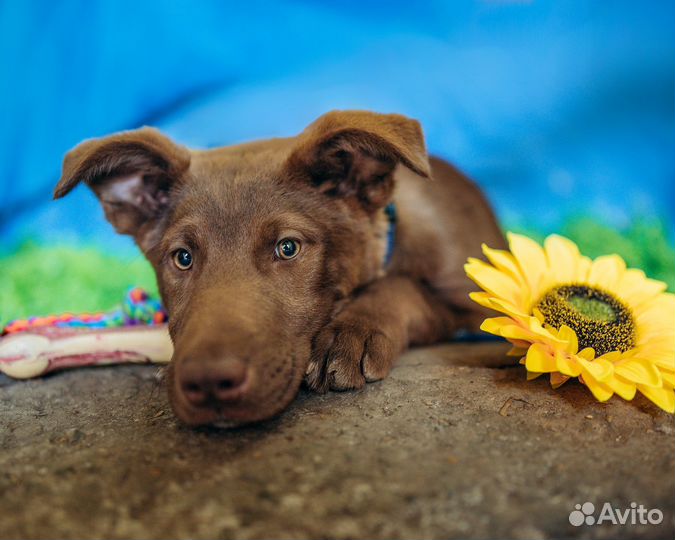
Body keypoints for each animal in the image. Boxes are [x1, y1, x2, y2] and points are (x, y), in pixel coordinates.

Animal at [54, 110, 508, 426]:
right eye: (182, 257)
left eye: (287, 248)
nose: (208, 382)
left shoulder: (478, 306)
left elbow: (404, 288)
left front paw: (351, 332)